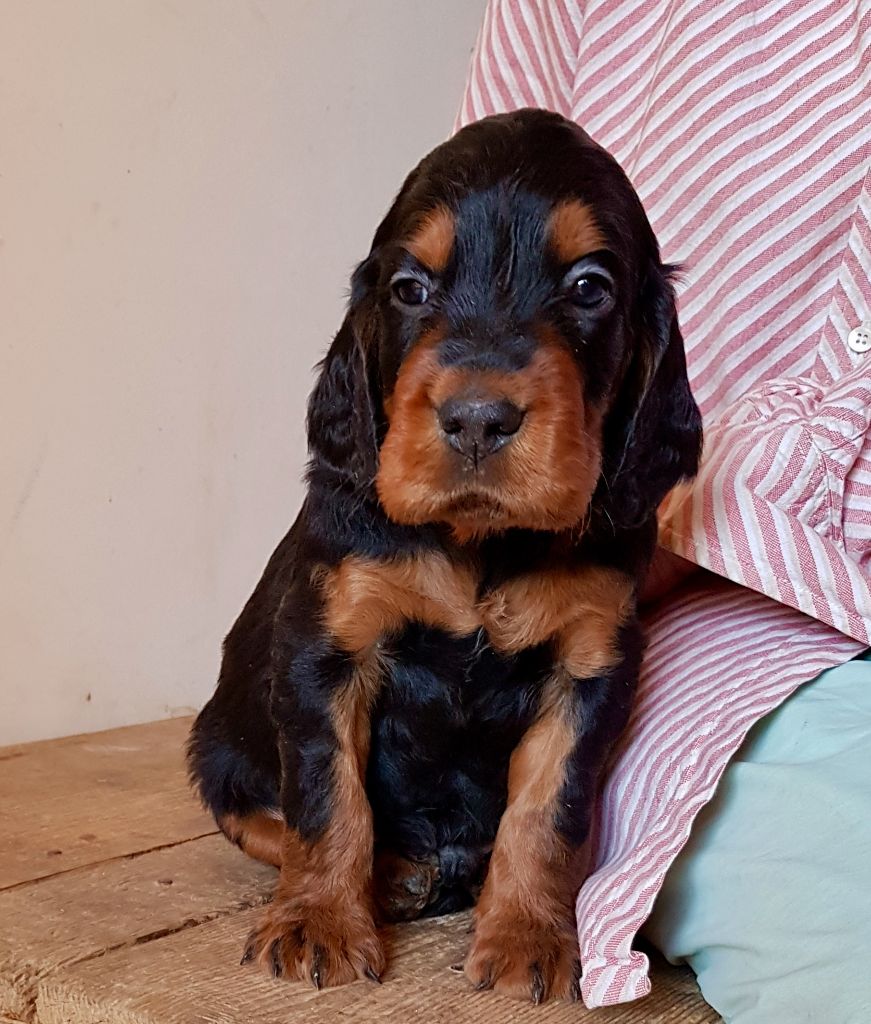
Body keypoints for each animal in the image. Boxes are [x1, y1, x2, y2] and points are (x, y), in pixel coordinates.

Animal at [187, 110, 704, 999]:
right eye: (408, 289)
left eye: (589, 288)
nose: (475, 420)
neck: (480, 544)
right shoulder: (325, 647)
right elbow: (326, 796)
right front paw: (320, 921)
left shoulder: (589, 664)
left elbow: (550, 810)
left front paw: (529, 936)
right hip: (217, 740)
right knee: (258, 813)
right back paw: (390, 874)